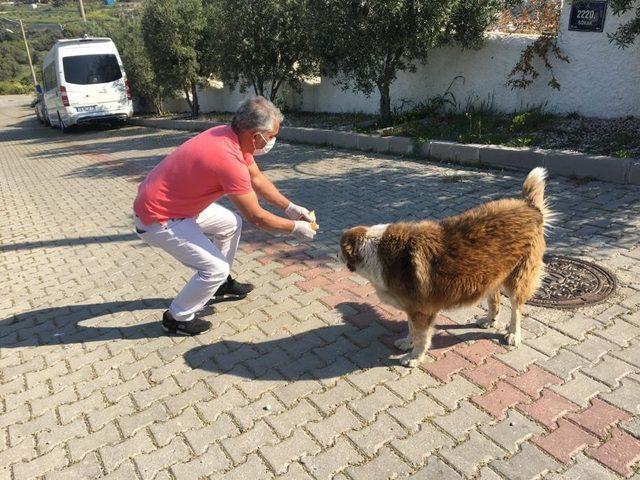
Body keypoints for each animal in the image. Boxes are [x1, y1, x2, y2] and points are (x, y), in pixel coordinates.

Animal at [340, 169, 552, 368]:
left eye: (341, 251)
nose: (337, 256)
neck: (376, 250)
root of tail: (529, 206)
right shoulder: (412, 308)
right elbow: (411, 329)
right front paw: (408, 343)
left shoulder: (422, 311)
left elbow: (421, 336)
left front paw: (414, 357)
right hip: (492, 272)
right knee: (495, 298)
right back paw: (489, 320)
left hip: (518, 278)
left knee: (516, 308)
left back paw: (514, 334)